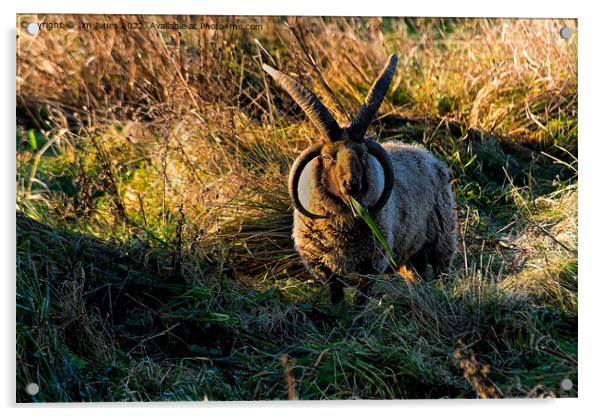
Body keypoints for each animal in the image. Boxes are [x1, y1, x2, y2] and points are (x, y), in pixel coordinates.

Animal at [262, 54, 454, 306]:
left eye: (362, 154)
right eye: (327, 156)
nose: (352, 185)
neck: (344, 222)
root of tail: (428, 155)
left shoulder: (373, 260)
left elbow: (362, 293)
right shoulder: (320, 262)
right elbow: (334, 289)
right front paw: (336, 310)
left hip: (441, 241)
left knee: (441, 272)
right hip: (412, 250)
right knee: (417, 273)